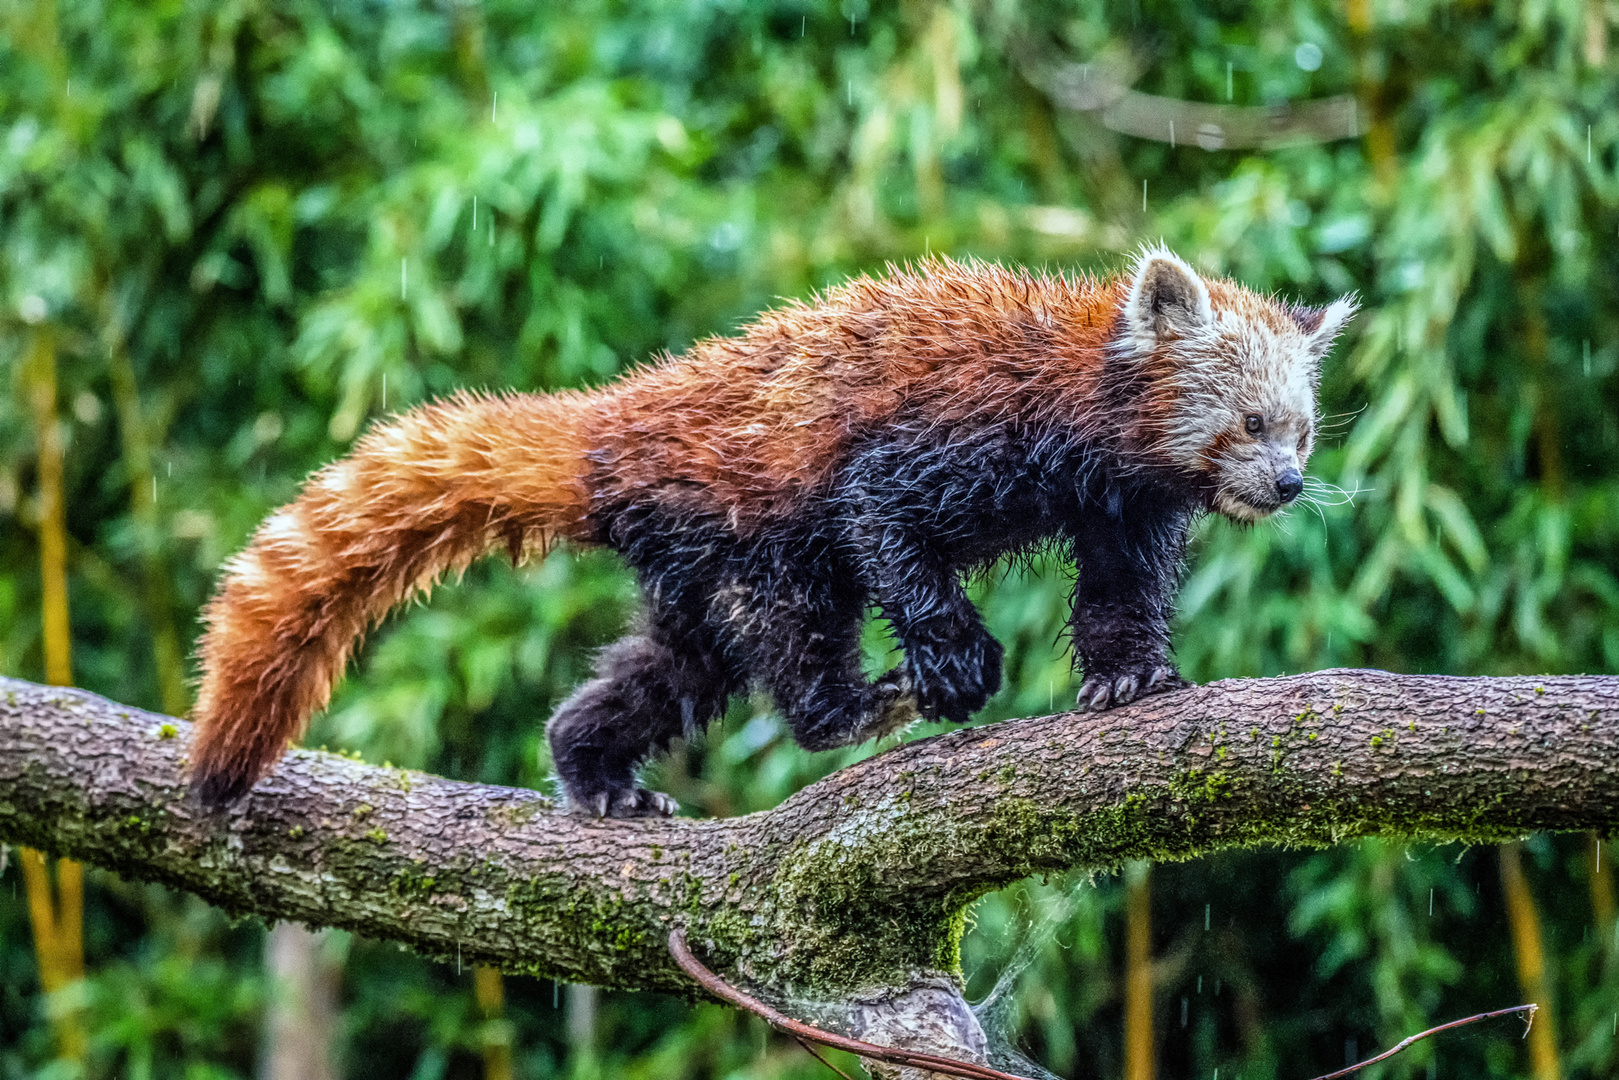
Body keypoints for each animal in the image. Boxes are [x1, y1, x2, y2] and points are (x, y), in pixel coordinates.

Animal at [189, 249, 1353, 816]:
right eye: (1251, 424)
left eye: (1299, 428)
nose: (1288, 483)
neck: (1084, 405)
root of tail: (615, 426)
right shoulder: (947, 437)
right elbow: (884, 527)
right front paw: (955, 659)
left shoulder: (1120, 502)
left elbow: (1119, 588)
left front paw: (1128, 677)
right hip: (747, 521)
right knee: (794, 635)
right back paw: (865, 705)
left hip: (690, 559)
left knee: (676, 666)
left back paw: (595, 771)